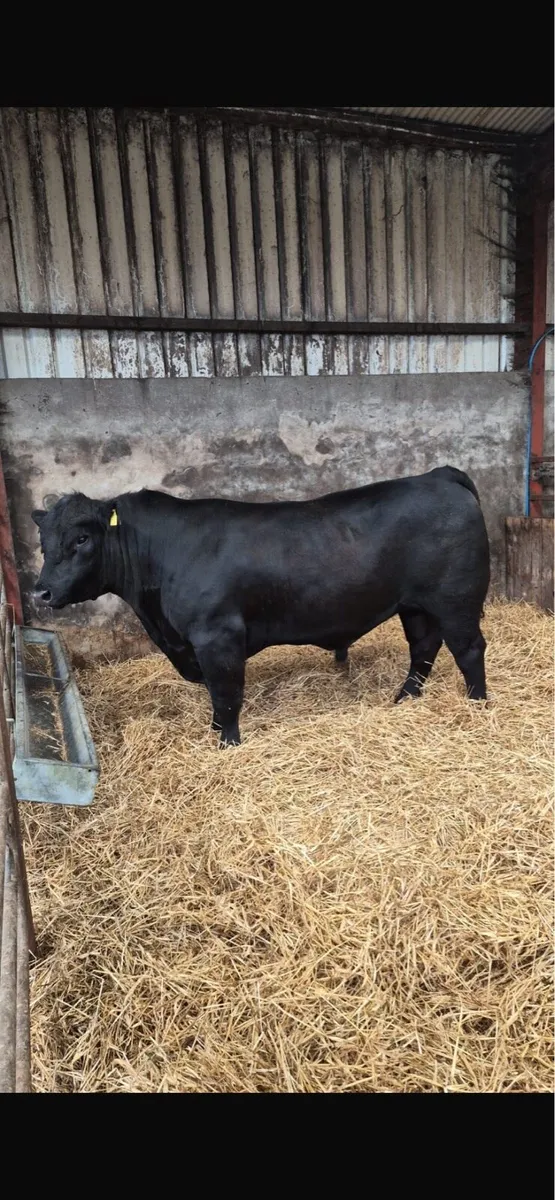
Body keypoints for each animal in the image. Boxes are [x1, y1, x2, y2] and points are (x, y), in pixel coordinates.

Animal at [32, 464, 490, 747]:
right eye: (43, 542)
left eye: (82, 539)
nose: (41, 593)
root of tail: (438, 475)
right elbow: (217, 695)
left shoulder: (218, 636)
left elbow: (226, 693)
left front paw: (227, 742)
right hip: (416, 605)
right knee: (423, 648)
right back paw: (405, 700)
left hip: (456, 599)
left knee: (468, 650)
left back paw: (478, 706)